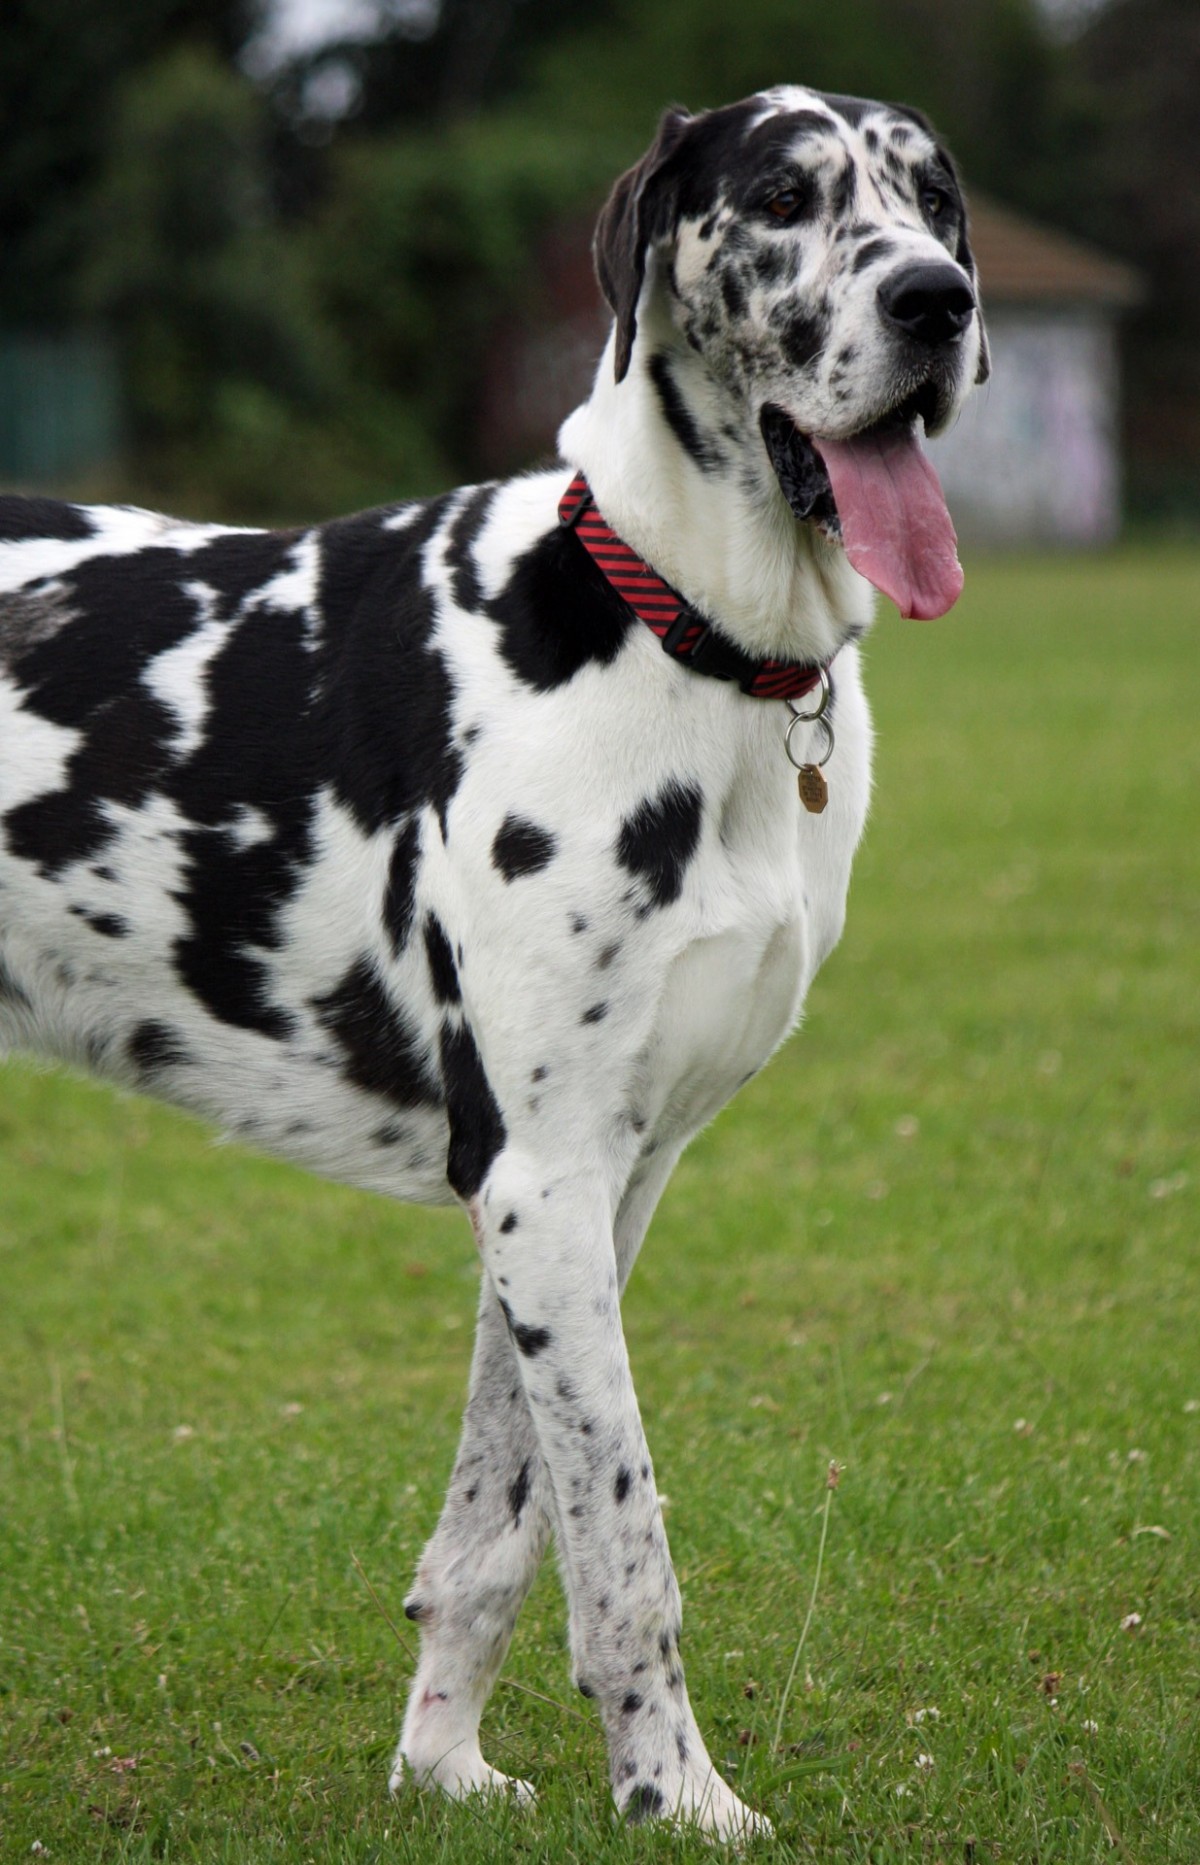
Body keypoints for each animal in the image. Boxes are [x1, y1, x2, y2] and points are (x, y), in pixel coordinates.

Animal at [2, 83, 985, 1835]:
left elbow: (505, 1527)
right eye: (783, 197)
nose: (939, 299)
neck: (687, 638)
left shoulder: (597, 1184)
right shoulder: (540, 1175)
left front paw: (442, 1765)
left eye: (935, 196)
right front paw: (677, 1798)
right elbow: (627, 1542)